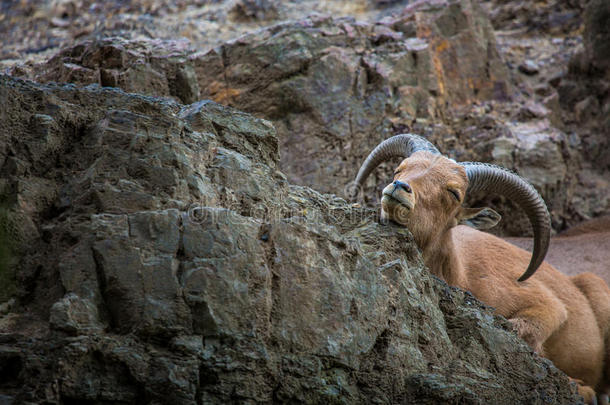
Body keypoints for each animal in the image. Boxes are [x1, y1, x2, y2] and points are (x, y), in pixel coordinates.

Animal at [354, 134, 604, 402]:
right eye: (399, 169)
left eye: (454, 192)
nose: (400, 186)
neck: (463, 274)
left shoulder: (547, 305)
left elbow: (528, 327)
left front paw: (579, 386)